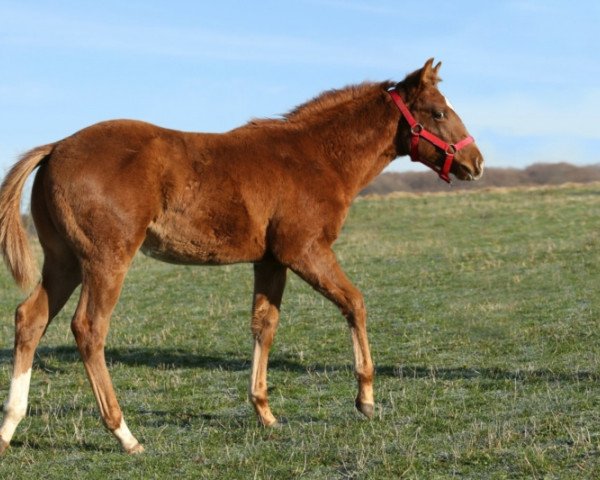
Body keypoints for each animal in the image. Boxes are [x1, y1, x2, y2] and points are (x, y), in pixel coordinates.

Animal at [0, 58, 482, 452]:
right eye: (438, 113)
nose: (475, 163)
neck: (315, 157)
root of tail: (56, 147)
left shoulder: (270, 260)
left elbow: (263, 325)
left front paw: (264, 411)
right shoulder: (305, 250)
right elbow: (355, 303)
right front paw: (365, 399)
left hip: (64, 262)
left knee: (30, 318)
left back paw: (9, 426)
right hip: (105, 261)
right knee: (89, 329)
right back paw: (124, 434)